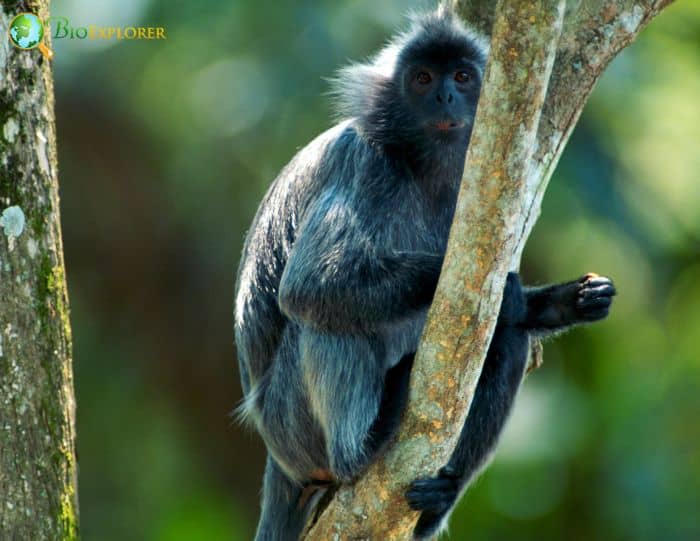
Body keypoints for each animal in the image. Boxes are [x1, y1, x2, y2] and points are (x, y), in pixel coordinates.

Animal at [234, 8, 612, 540]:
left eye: (462, 77)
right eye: (423, 79)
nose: (444, 97)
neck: (424, 168)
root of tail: (278, 461)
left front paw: (568, 300)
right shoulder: (365, 163)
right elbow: (310, 284)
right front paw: (500, 290)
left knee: (508, 338)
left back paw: (439, 499)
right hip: (290, 425)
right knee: (323, 318)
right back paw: (363, 447)